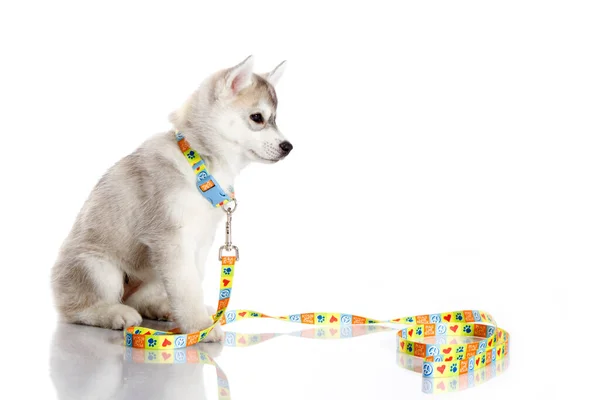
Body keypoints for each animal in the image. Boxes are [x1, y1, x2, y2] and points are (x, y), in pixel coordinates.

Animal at [51, 54, 292, 340]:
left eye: (275, 119)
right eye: (257, 118)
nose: (288, 147)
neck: (200, 164)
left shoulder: (198, 242)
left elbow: (190, 281)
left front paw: (194, 318)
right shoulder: (171, 239)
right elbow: (187, 287)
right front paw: (200, 327)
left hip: (153, 270)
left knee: (139, 299)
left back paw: (160, 307)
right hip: (97, 268)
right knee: (78, 308)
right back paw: (112, 313)